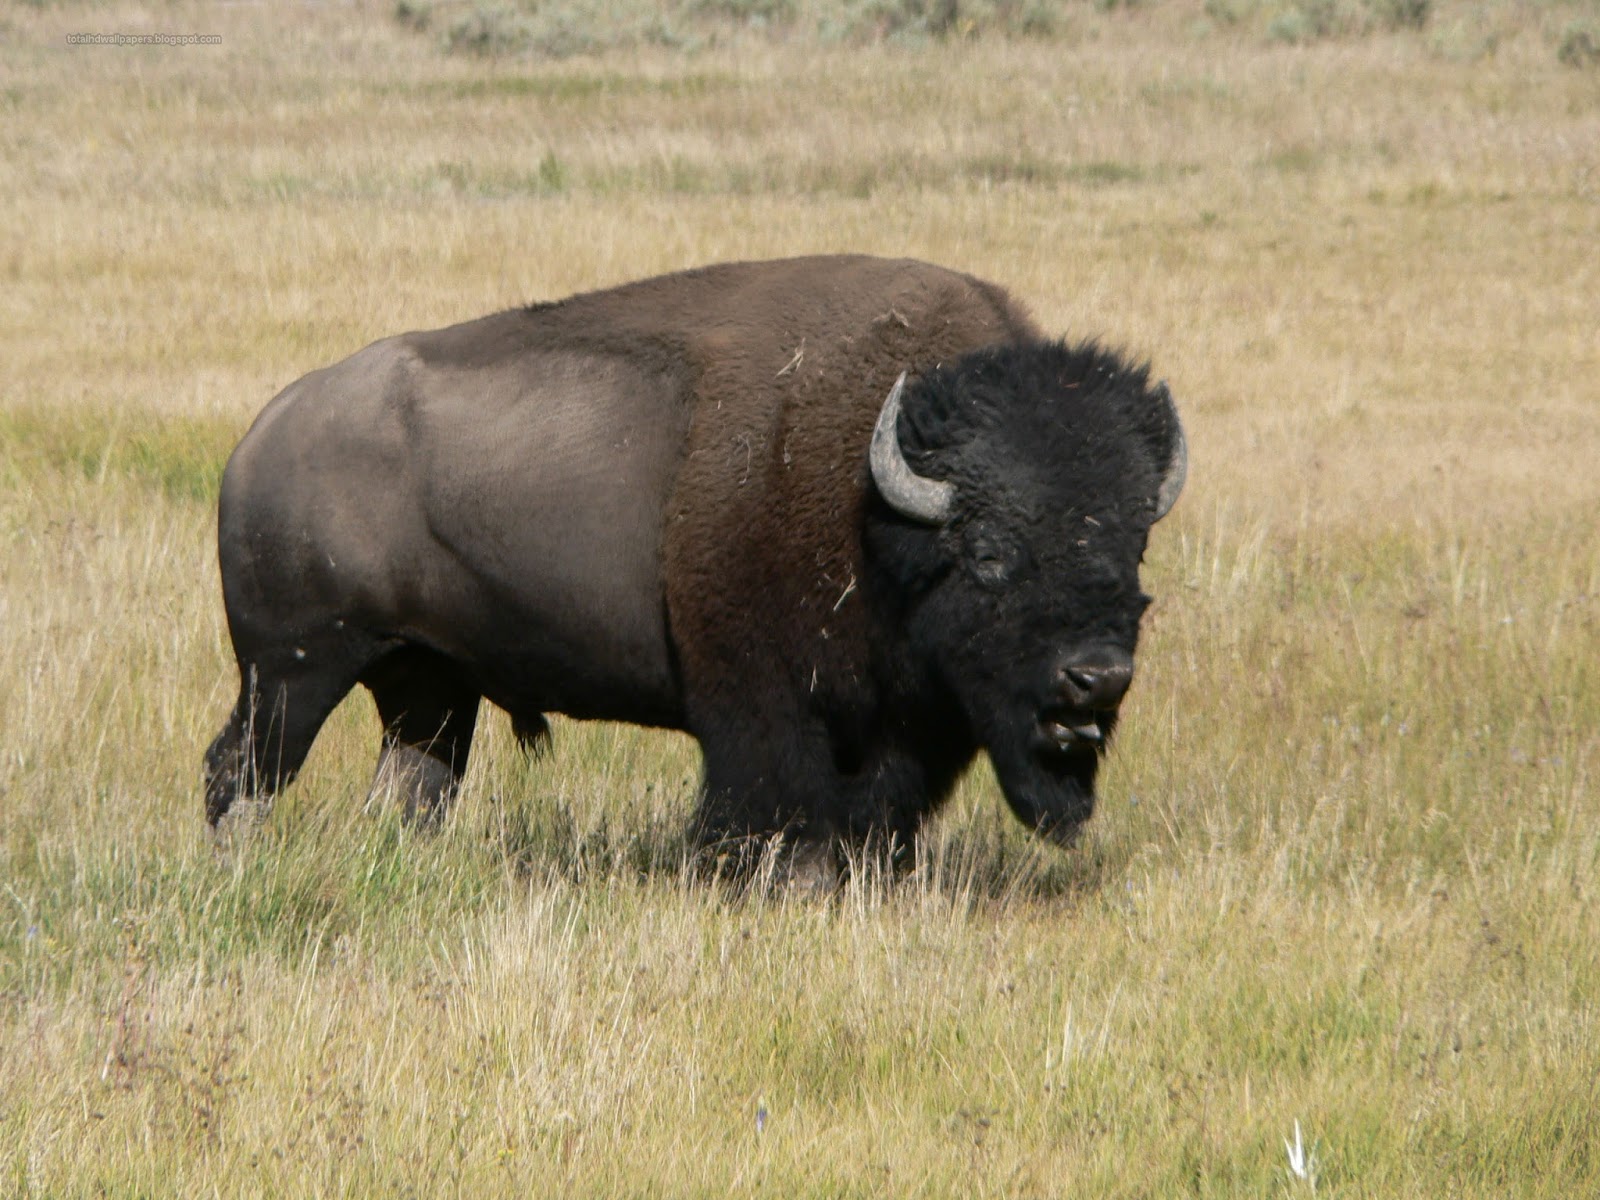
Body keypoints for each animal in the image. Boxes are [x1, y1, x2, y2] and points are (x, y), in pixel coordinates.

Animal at [204, 255, 1185, 874]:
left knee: (410, 791)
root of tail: (263, 435)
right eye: (987, 554)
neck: (877, 503)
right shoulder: (765, 719)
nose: (1094, 679)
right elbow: (777, 821)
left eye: (1132, 547)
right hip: (292, 673)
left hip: (429, 686)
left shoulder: (899, 736)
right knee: (238, 775)